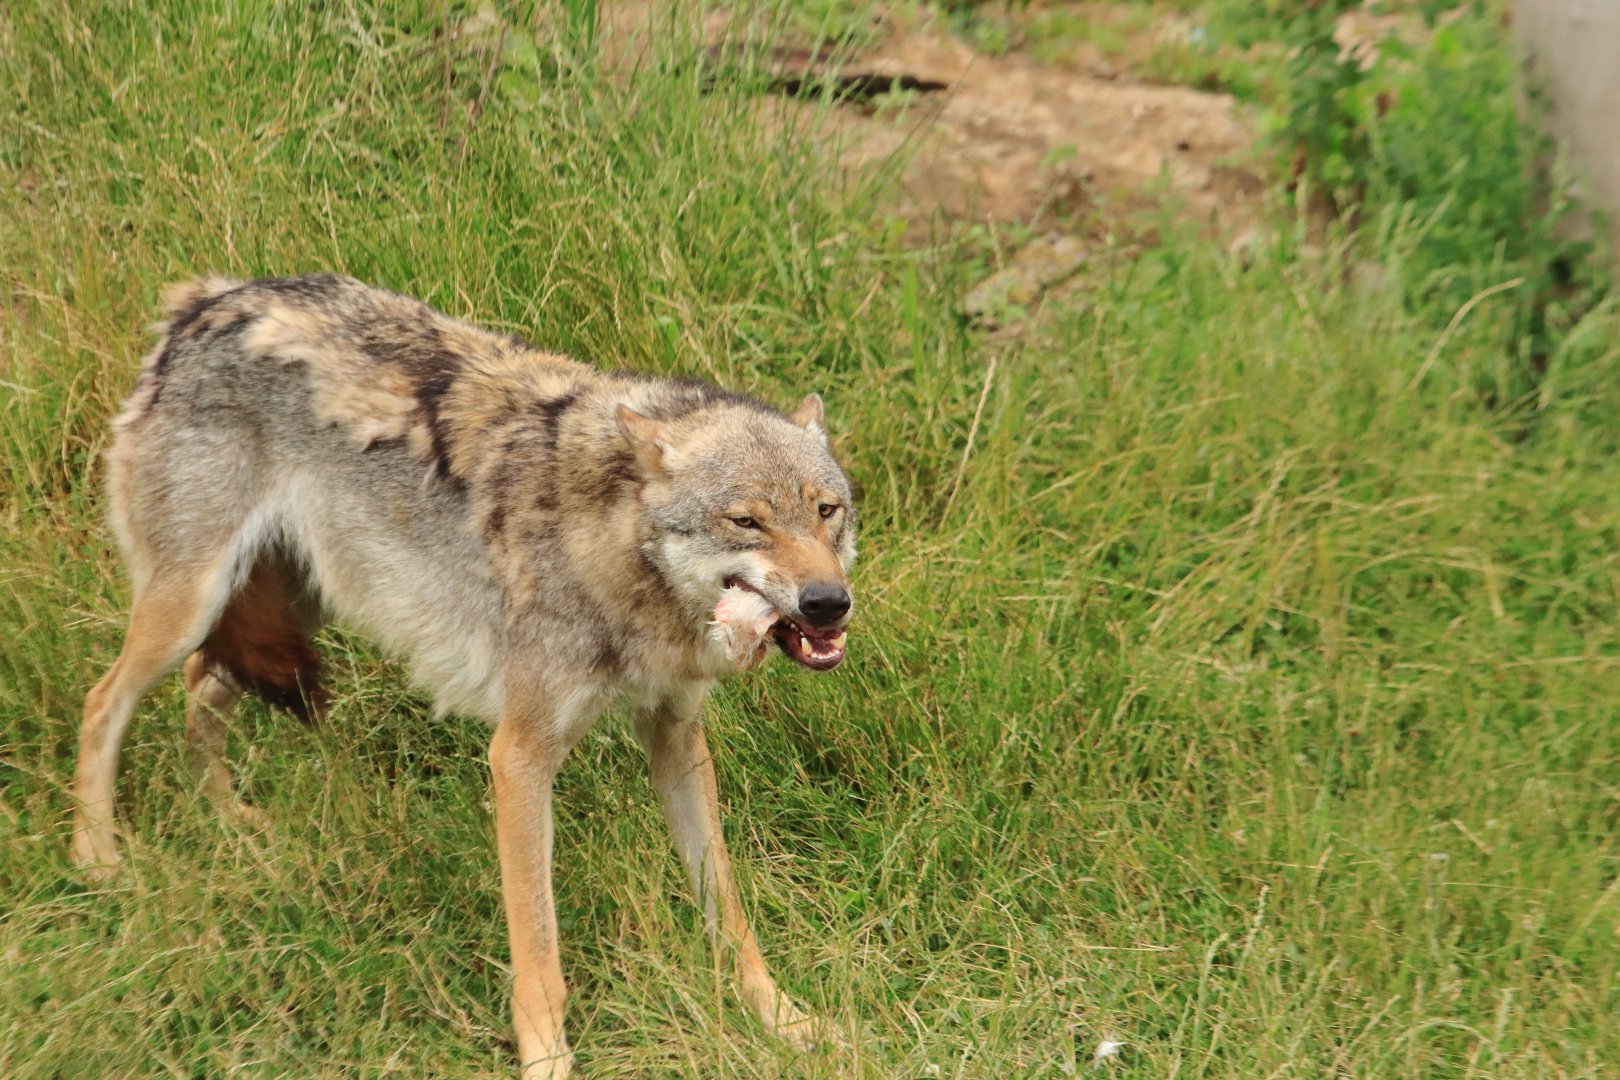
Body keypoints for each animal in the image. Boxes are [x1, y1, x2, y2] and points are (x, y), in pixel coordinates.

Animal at [70, 274, 856, 1077]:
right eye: (746, 522)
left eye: (827, 512)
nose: (829, 602)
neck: (615, 556)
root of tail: (207, 300)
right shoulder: (520, 756)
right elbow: (538, 948)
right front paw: (547, 1060)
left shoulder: (677, 740)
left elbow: (728, 910)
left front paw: (783, 1020)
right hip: (189, 609)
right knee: (102, 702)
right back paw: (97, 858)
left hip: (287, 605)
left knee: (202, 688)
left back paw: (226, 820)